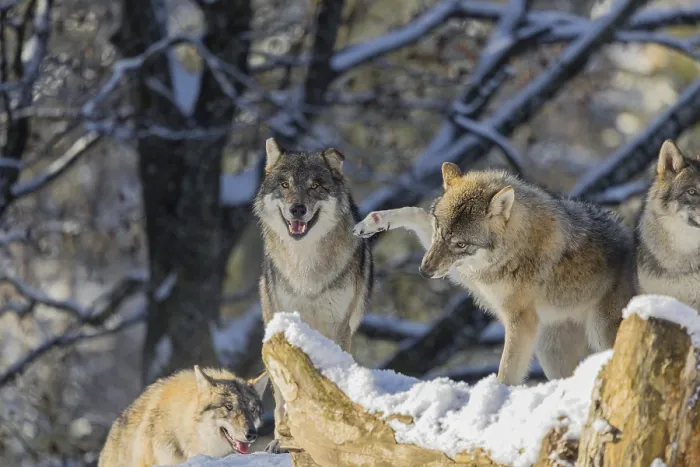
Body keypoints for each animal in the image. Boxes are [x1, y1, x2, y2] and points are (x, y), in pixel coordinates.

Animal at [254, 138, 373, 453]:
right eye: (284, 184)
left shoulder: (338, 326)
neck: (306, 267)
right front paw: (283, 440)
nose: (297, 209)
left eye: (315, 186)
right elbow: (285, 394)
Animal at [355, 164, 635, 385]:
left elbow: (506, 373)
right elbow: (414, 212)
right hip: (550, 351)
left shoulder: (519, 321)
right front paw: (374, 221)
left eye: (461, 244)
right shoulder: (465, 273)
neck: (513, 250)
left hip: (599, 333)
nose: (425, 271)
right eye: (439, 232)